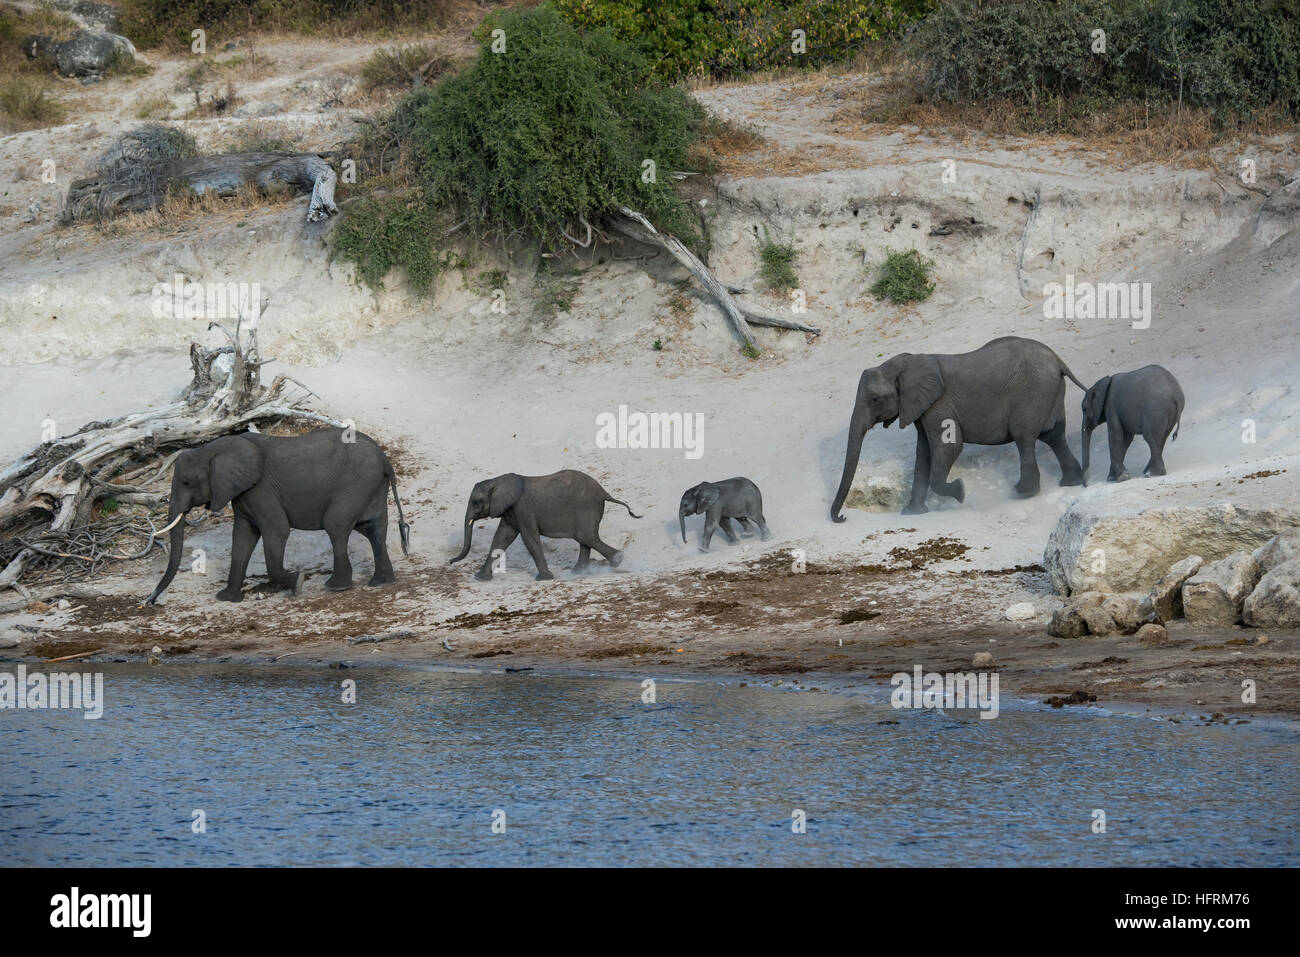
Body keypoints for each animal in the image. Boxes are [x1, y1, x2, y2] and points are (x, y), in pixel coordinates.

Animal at [143, 429, 408, 605]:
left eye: (186, 482)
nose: (150, 602)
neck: (213, 449)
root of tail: (386, 460)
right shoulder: (243, 493)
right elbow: (242, 538)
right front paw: (227, 599)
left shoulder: (260, 489)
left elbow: (277, 530)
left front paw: (298, 582)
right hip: (370, 485)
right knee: (373, 528)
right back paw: (381, 582)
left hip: (356, 483)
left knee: (336, 524)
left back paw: (336, 588)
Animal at [449, 470, 642, 582]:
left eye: (476, 502)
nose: (450, 561)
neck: (498, 480)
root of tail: (604, 492)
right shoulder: (510, 510)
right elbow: (502, 537)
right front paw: (480, 579)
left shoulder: (523, 508)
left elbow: (529, 538)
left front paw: (544, 579)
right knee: (585, 538)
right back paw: (578, 572)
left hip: (587, 507)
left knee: (586, 536)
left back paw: (617, 560)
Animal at [832, 335, 1086, 520]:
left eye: (874, 399)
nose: (842, 518)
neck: (901, 364)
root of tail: (1059, 362)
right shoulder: (922, 409)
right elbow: (923, 453)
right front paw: (912, 513)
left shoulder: (939, 405)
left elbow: (948, 448)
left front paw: (961, 491)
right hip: (1050, 392)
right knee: (1054, 436)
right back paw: (1071, 482)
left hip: (1033, 392)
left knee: (1024, 437)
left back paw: (1024, 492)